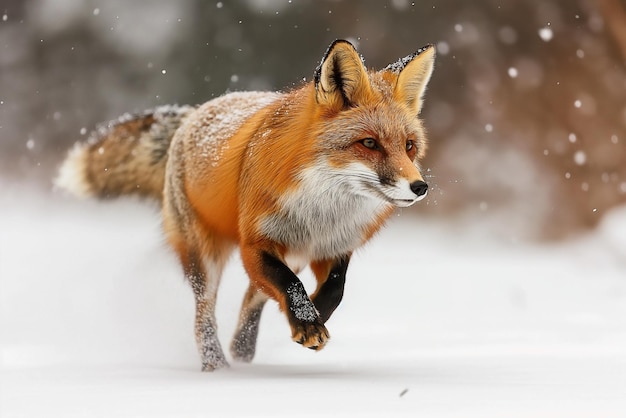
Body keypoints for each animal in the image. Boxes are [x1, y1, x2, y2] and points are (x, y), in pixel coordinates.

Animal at [56, 40, 434, 370]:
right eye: (369, 143)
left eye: (409, 146)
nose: (420, 187)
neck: (322, 213)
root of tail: (196, 112)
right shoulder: (255, 243)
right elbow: (290, 288)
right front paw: (307, 323)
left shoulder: (333, 247)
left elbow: (333, 290)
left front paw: (312, 319)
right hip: (205, 256)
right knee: (204, 313)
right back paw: (217, 365)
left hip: (291, 255)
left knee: (253, 297)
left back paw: (243, 349)